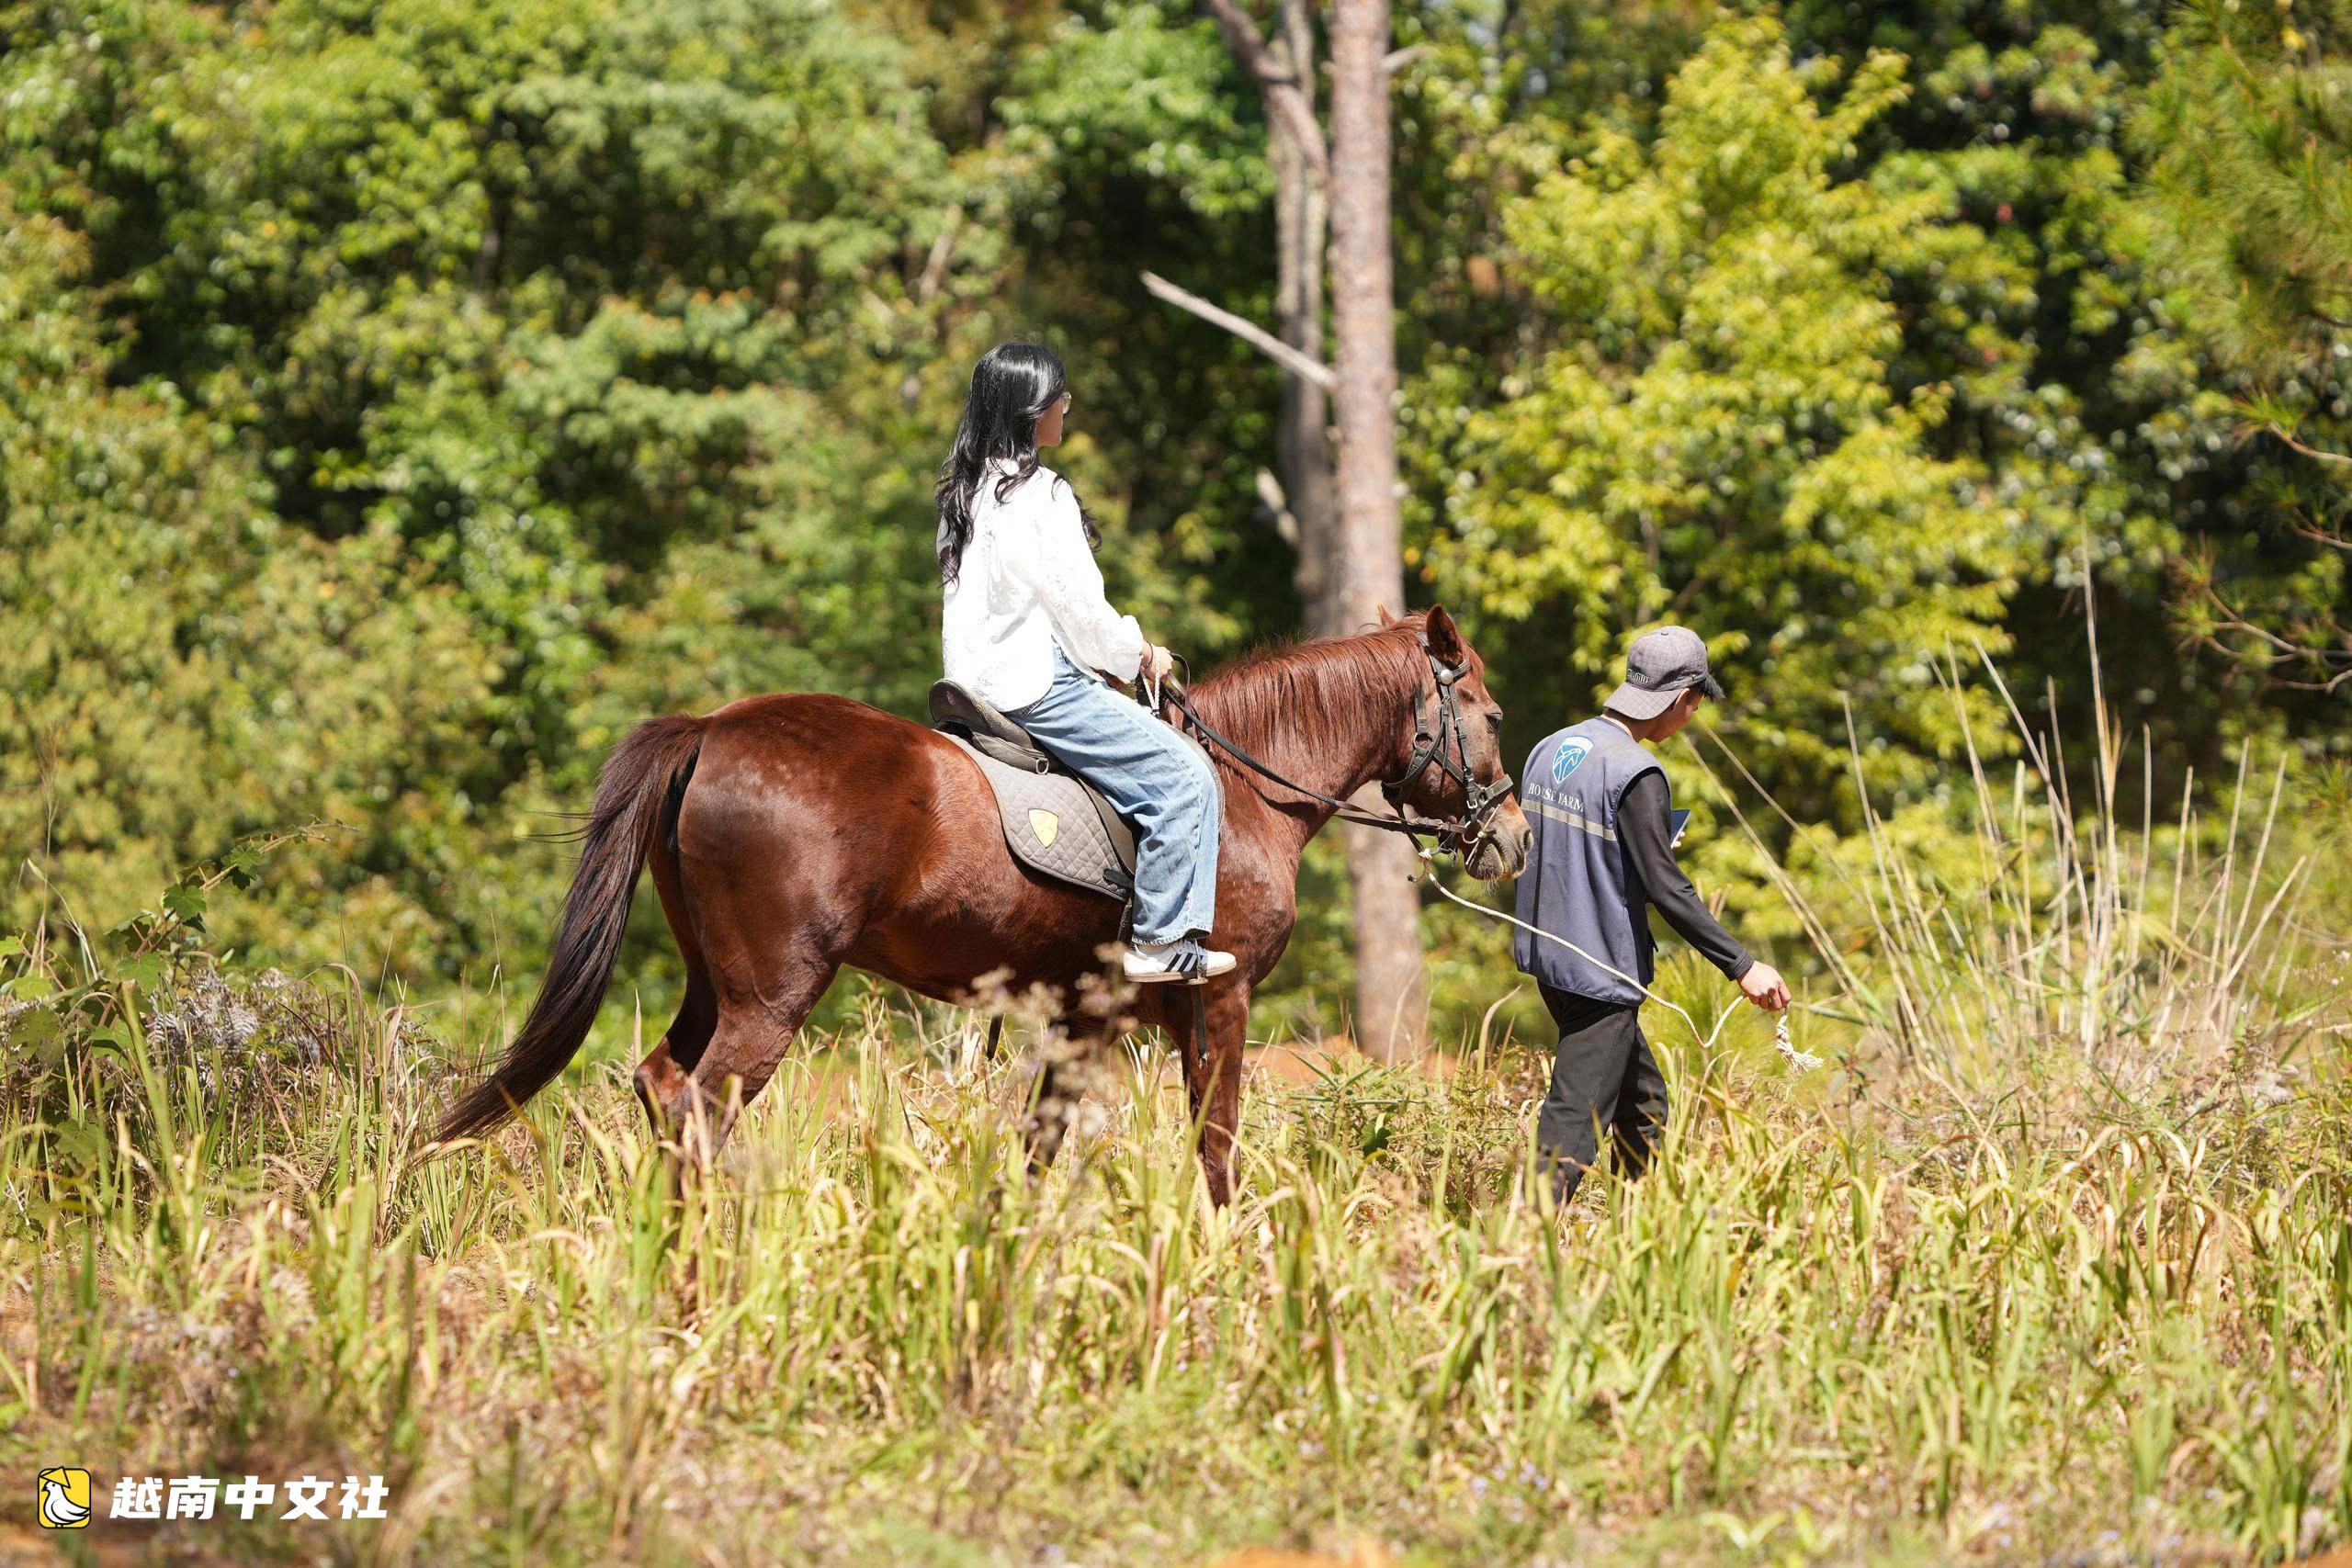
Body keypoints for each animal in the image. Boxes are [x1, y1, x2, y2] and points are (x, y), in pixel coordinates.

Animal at [434, 605, 1532, 1204]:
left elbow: (1040, 1153)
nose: (1513, 836)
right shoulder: (1219, 1002)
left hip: (716, 980)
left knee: (662, 1086)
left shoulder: (1085, 1022)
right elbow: (1214, 1144)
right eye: (1486, 711)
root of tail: (711, 727)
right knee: (701, 1110)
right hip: (773, 996)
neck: (1244, 788)